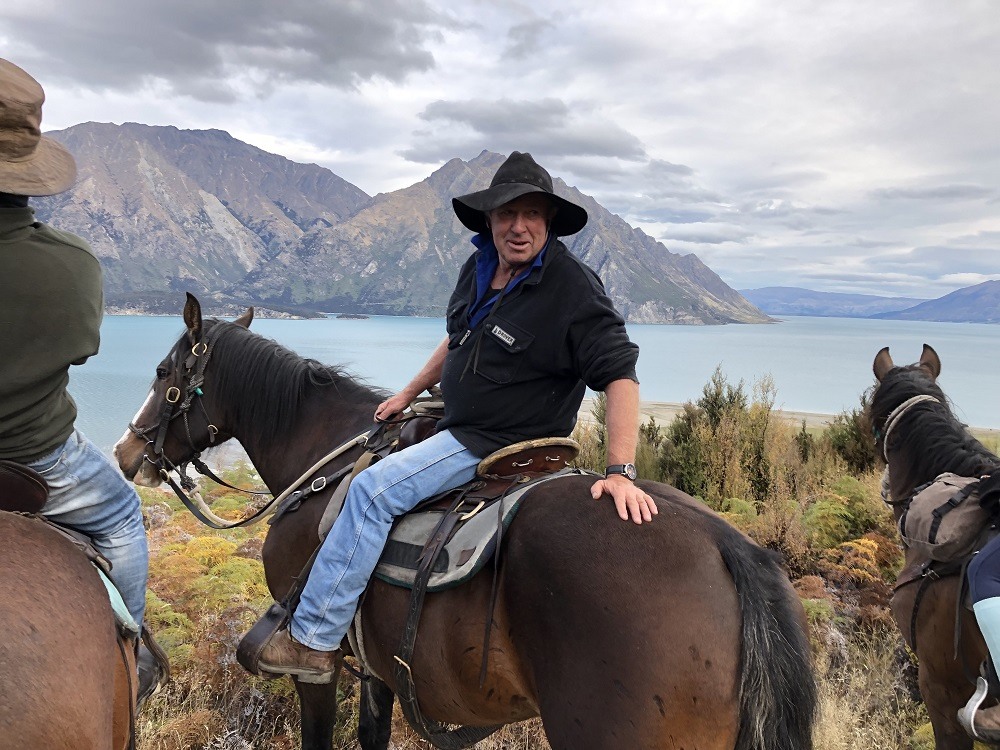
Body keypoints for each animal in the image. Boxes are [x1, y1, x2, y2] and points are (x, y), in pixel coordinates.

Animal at [113, 296, 812, 750]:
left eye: (163, 372)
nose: (126, 453)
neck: (325, 455)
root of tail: (728, 548)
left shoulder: (319, 672)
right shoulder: (378, 670)